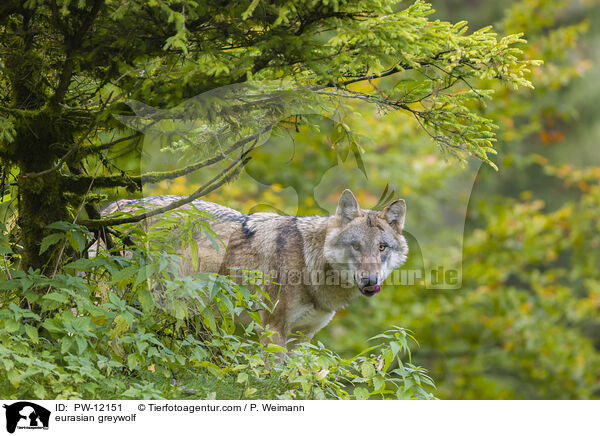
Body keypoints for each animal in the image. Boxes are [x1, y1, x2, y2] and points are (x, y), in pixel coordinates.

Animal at [103, 191, 408, 348]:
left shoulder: (302, 337)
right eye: (356, 246)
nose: (370, 281)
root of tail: (113, 206)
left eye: (382, 247)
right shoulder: (273, 329)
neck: (308, 262)